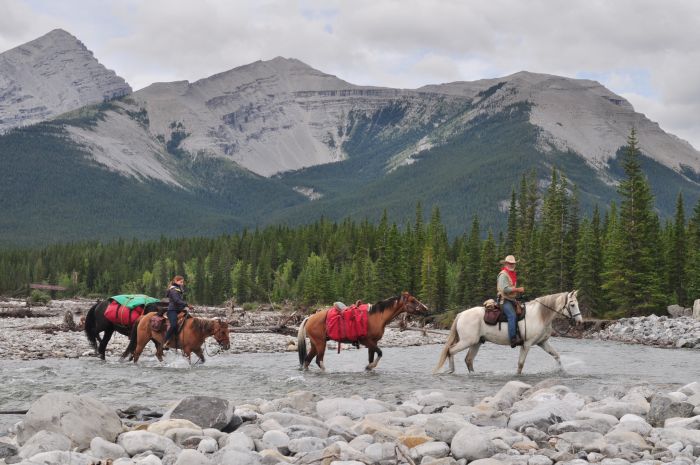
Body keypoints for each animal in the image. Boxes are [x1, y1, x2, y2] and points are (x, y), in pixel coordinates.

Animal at [296, 292, 426, 372]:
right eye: (413, 300)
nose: (426, 309)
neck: (377, 316)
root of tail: (309, 318)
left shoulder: (373, 342)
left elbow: (372, 357)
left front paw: (369, 368)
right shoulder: (367, 341)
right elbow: (380, 353)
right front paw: (370, 366)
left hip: (315, 344)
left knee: (307, 360)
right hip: (320, 344)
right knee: (319, 361)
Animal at [434, 292, 584, 376]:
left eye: (577, 303)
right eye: (572, 304)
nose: (580, 321)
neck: (540, 315)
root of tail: (461, 314)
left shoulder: (542, 342)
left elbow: (557, 356)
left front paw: (562, 371)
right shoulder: (527, 344)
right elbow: (520, 364)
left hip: (476, 342)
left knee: (468, 359)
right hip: (467, 341)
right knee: (450, 350)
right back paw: (451, 370)